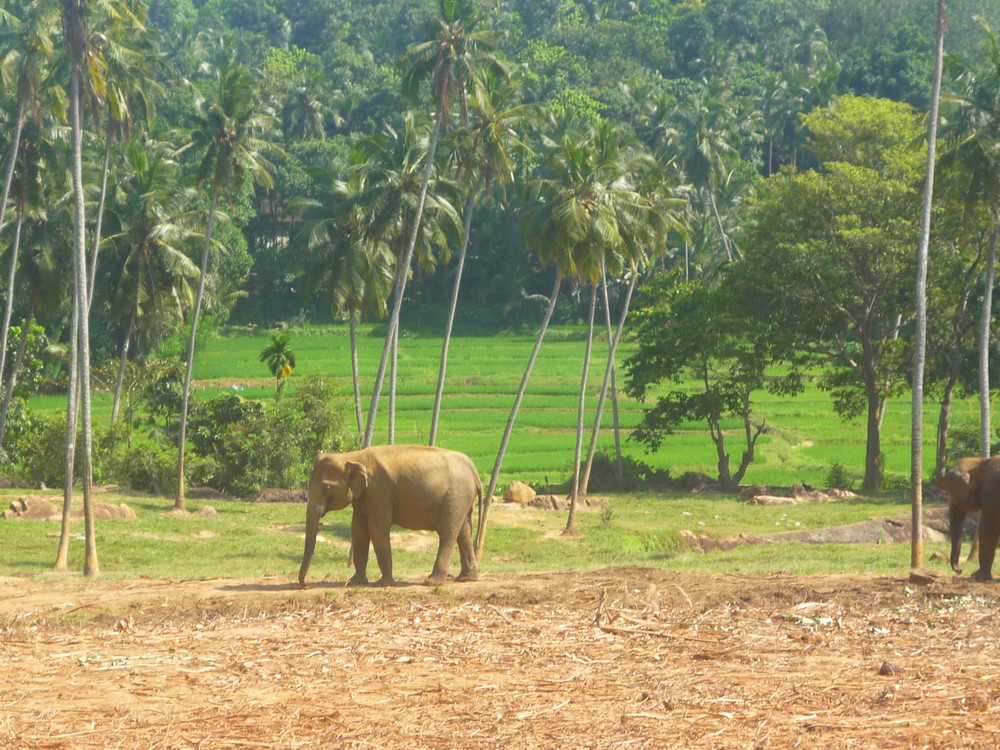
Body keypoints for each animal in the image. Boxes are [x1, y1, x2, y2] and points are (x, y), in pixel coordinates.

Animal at [296, 444, 480, 592]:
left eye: (327, 487)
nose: (305, 586)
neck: (353, 456)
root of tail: (474, 470)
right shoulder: (363, 496)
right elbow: (358, 530)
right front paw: (355, 582)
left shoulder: (378, 490)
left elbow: (377, 529)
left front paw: (383, 584)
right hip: (462, 500)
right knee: (464, 532)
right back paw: (466, 578)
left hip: (455, 497)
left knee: (447, 532)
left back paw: (432, 582)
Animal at [936, 456, 1000, 584]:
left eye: (952, 493)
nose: (959, 570)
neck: (980, 462)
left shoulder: (992, 491)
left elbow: (988, 528)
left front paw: (977, 576)